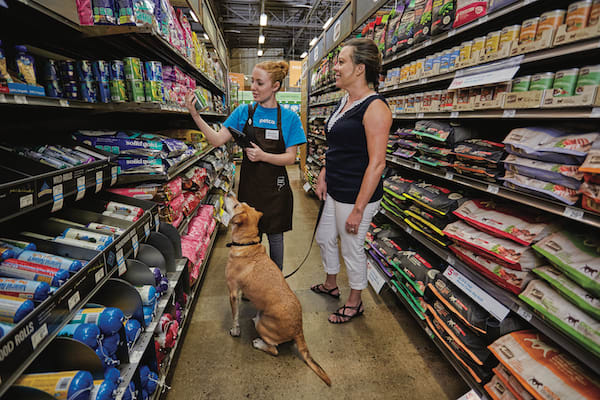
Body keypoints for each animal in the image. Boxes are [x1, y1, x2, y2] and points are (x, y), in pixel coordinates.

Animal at [224, 194, 330, 384]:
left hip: (264, 326)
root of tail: (299, 329)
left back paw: (259, 343)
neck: (246, 244)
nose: (229, 194)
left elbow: (235, 316)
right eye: (241, 203)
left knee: (274, 349)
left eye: (236, 205)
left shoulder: (233, 292)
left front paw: (235, 331)